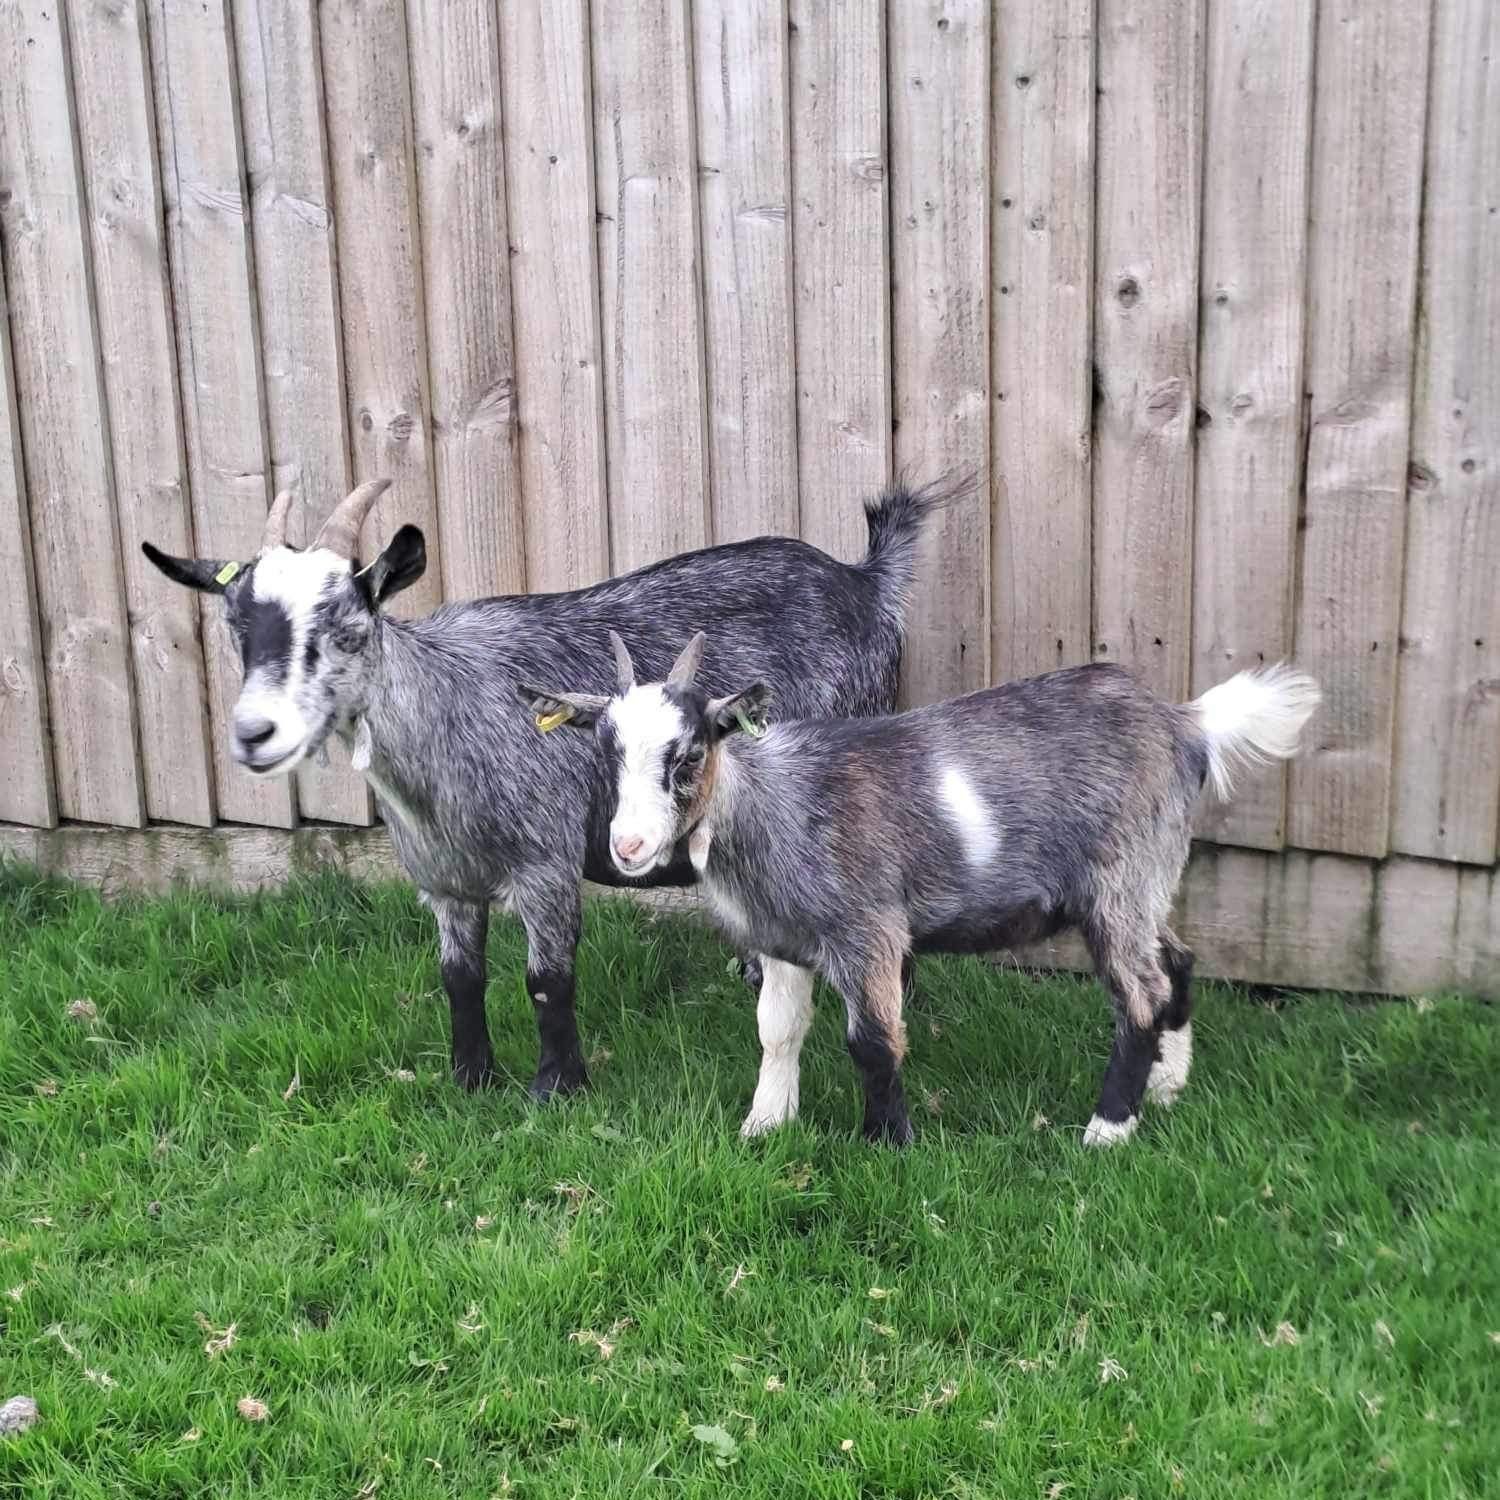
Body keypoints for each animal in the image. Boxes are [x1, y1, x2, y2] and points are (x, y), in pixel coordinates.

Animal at [142, 478, 952, 1098]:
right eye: (235, 625)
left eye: (347, 622)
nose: (255, 734)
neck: (448, 714)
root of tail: (867, 581)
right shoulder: (445, 881)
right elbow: (458, 977)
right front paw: (470, 1079)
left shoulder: (545, 865)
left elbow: (545, 980)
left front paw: (557, 1087)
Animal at [522, 637, 1321, 1144]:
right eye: (606, 754)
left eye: (688, 754)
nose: (627, 848)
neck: (774, 804)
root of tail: (1188, 724)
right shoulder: (782, 940)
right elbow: (777, 1031)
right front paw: (764, 1126)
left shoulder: (868, 930)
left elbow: (874, 1041)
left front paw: (887, 1140)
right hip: (1148, 879)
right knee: (1176, 962)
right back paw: (1165, 1087)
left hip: (1120, 878)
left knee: (1142, 992)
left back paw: (1108, 1128)